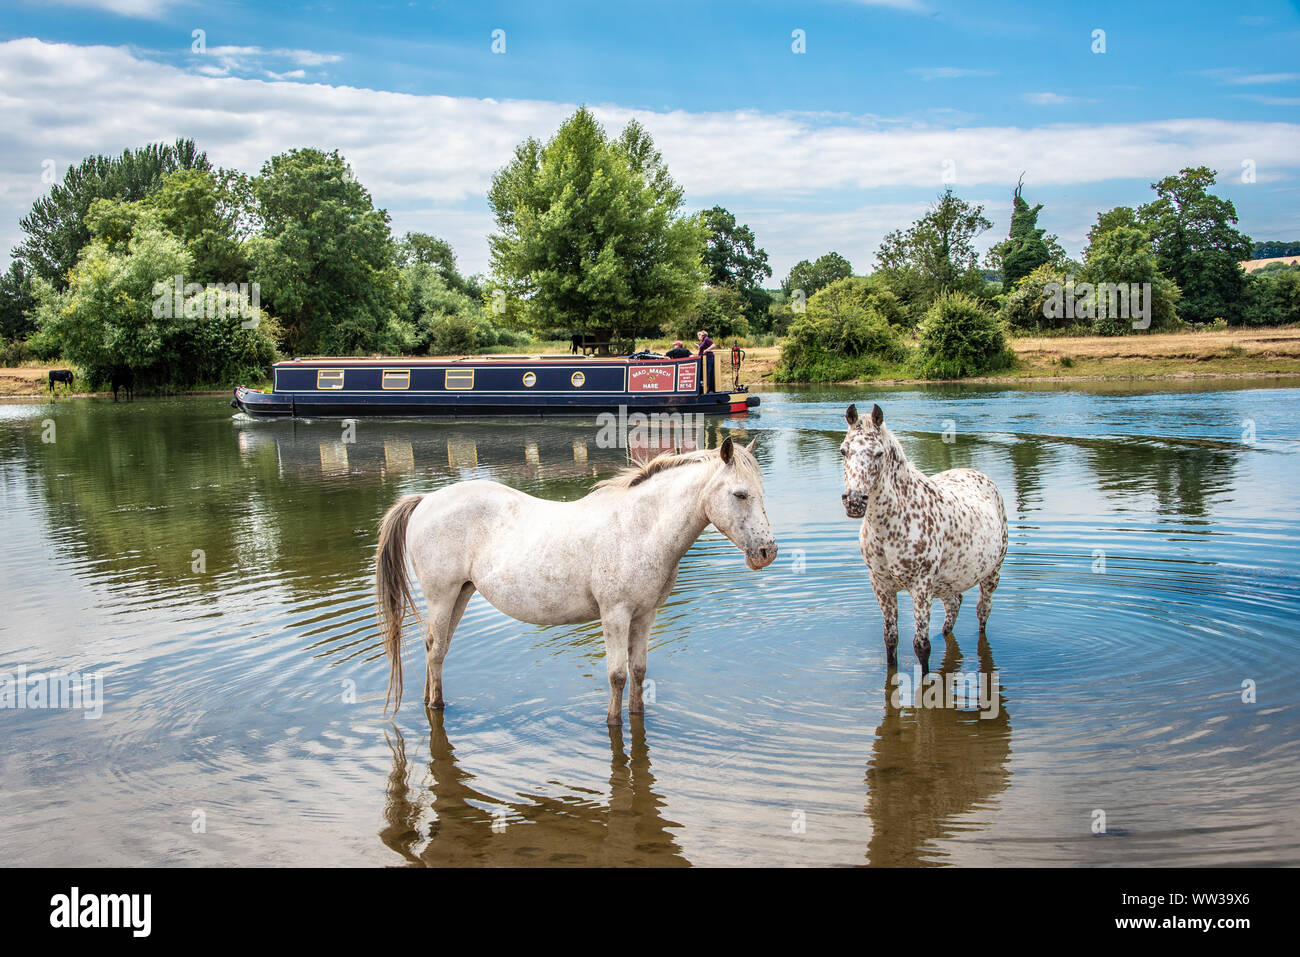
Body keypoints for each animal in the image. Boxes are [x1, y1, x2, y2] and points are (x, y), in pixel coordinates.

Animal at [371, 436, 774, 722]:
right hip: (442, 597)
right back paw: (436, 705)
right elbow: (617, 675)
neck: (640, 528)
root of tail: (425, 501)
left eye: (761, 493)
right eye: (740, 494)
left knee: (436, 649)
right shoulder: (615, 615)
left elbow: (639, 672)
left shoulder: (645, 616)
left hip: (460, 595)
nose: (767, 551)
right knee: (436, 650)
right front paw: (612, 722)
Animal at [837, 403, 1008, 670]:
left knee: (983, 613)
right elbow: (890, 640)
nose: (854, 502)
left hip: (992, 574)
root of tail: (979, 475)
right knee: (954, 605)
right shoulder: (881, 586)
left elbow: (921, 646)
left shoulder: (921, 587)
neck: (890, 526)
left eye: (878, 453)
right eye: (844, 451)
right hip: (949, 582)